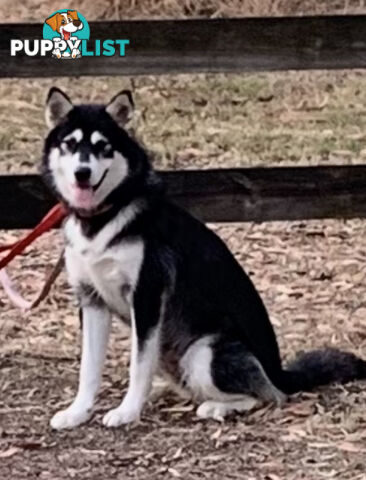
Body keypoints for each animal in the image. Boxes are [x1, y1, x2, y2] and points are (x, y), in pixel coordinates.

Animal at [41, 88, 366, 430]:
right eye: (70, 144)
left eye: (103, 146)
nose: (82, 173)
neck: (104, 216)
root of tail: (281, 372)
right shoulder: (91, 300)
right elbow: (88, 370)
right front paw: (77, 412)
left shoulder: (147, 297)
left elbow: (137, 365)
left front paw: (127, 411)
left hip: (203, 352)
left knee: (269, 396)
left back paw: (217, 407)